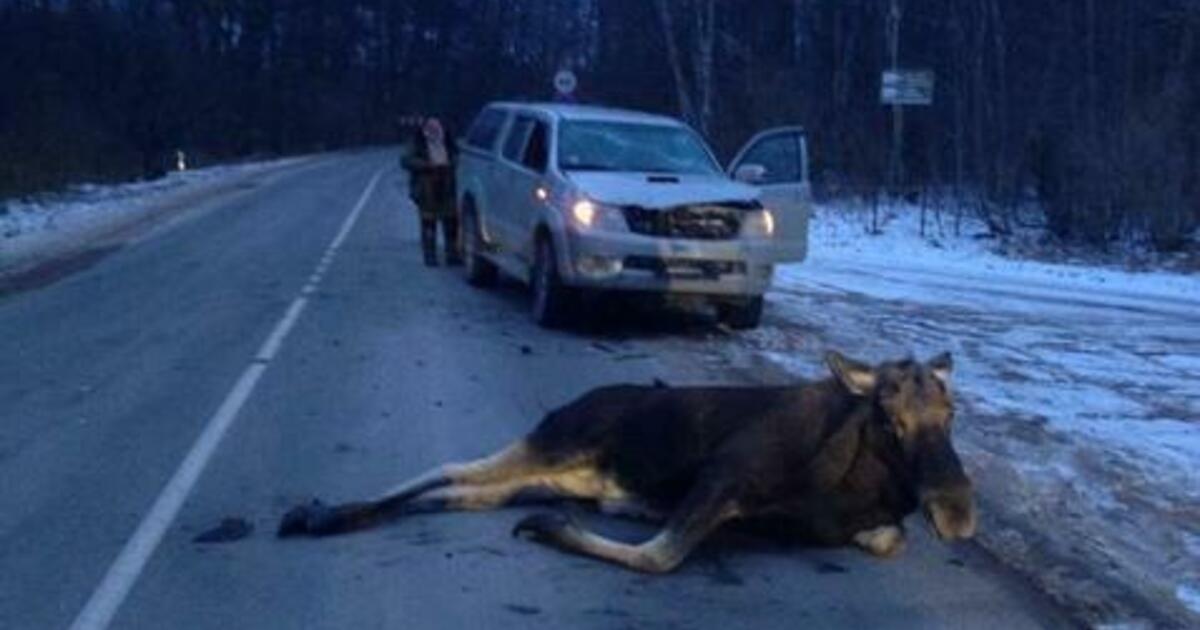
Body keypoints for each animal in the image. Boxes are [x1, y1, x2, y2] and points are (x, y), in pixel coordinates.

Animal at [278, 350, 974, 571]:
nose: (957, 513)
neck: (858, 487)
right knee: (450, 466)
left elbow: (889, 539)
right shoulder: (726, 472)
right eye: (888, 414)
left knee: (463, 492)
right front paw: (556, 533)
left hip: (545, 477)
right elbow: (660, 557)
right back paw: (321, 513)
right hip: (557, 440)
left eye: (952, 411)